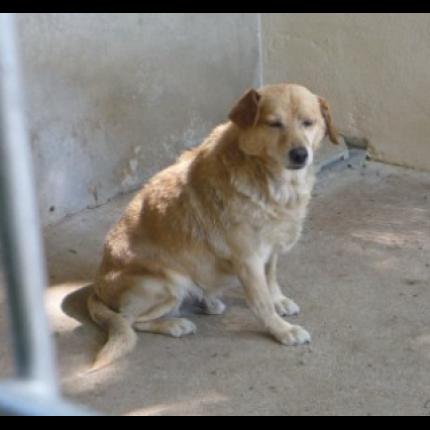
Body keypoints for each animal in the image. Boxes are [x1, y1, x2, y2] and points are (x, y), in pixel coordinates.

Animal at [87, 83, 338, 370]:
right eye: (274, 124)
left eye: (308, 123)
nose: (300, 155)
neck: (271, 182)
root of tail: (96, 289)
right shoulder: (248, 260)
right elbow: (262, 302)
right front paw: (282, 330)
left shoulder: (270, 250)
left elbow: (271, 277)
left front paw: (279, 300)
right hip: (168, 285)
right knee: (131, 321)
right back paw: (175, 324)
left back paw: (208, 302)